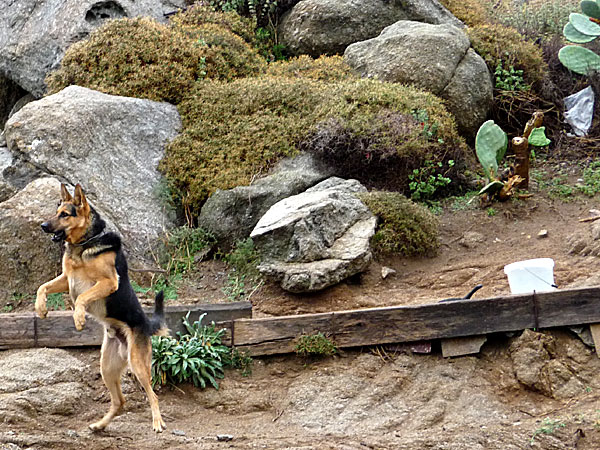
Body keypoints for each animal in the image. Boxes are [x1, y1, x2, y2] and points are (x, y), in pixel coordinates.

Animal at [34, 183, 168, 432]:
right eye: (56, 212)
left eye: (64, 215)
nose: (43, 226)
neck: (84, 243)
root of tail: (145, 324)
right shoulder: (66, 278)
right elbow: (42, 287)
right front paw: (41, 309)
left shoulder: (107, 282)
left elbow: (81, 298)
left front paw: (78, 319)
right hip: (107, 367)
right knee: (120, 402)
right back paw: (100, 425)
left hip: (138, 365)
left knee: (152, 395)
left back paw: (157, 422)